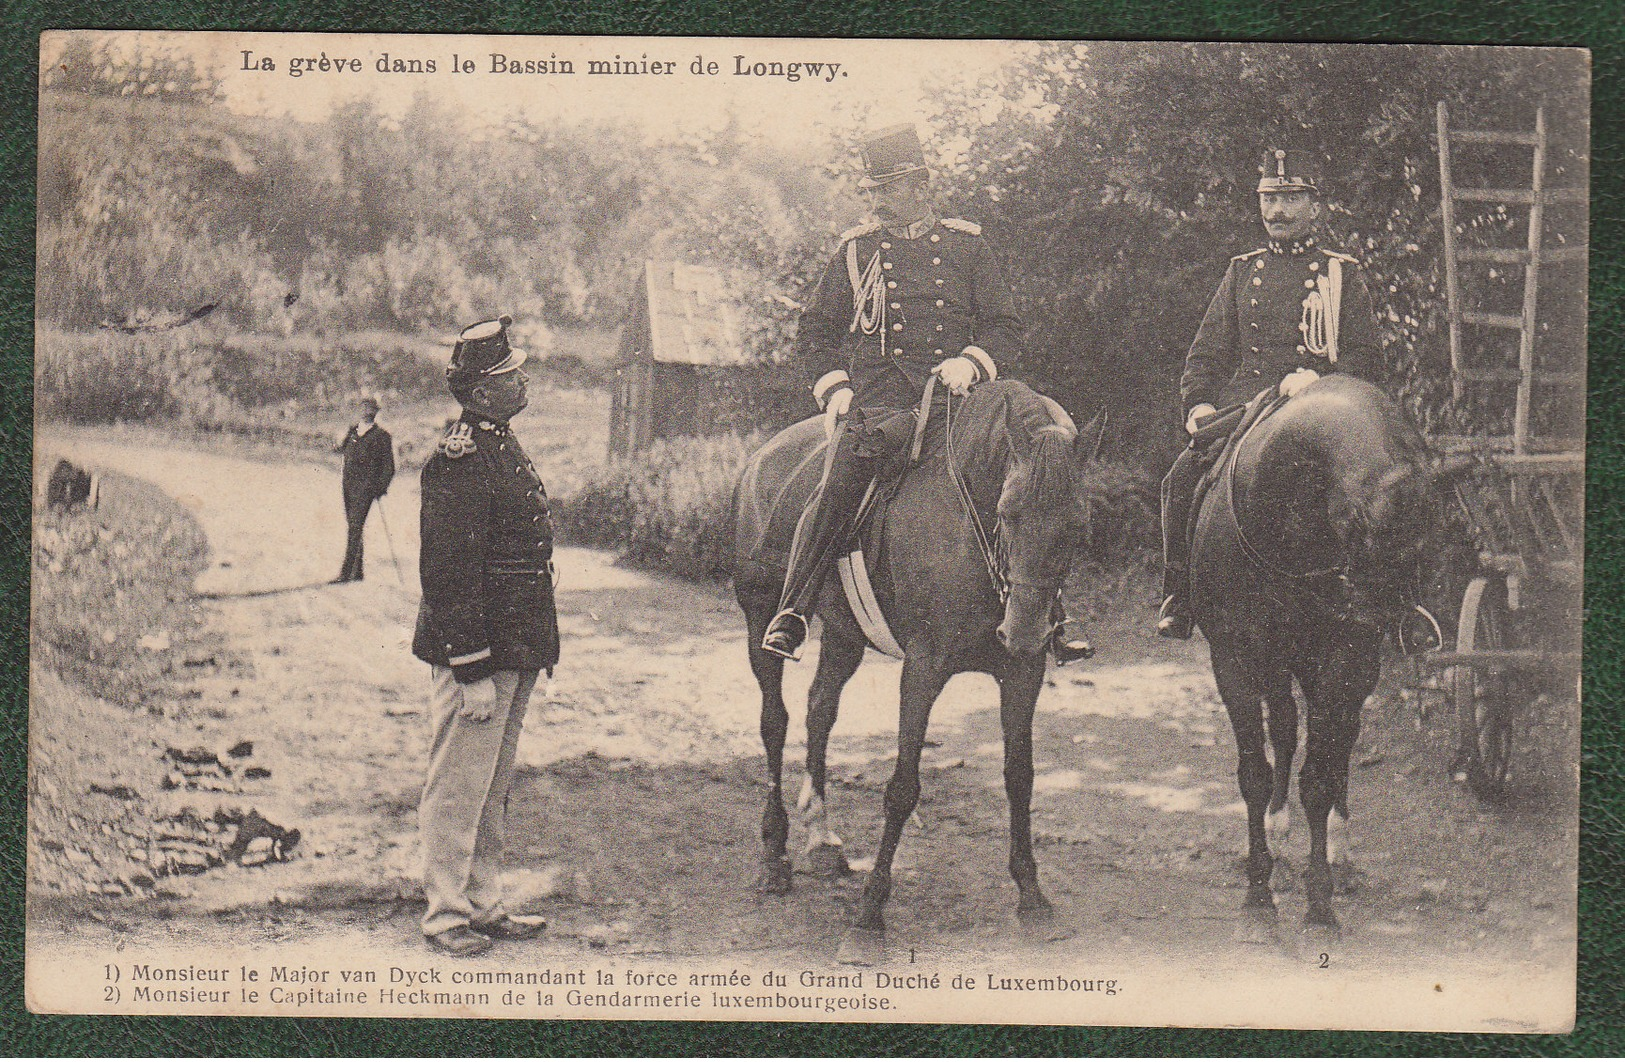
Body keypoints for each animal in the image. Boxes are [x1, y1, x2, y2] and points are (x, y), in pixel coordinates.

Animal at [734, 383, 1092, 967]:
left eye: (1079, 528)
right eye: (1008, 511)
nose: (1023, 630)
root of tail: (763, 455)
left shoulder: (1023, 674)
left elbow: (1020, 779)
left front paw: (1032, 898)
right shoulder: (923, 671)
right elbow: (902, 788)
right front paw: (868, 918)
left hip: (844, 635)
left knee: (819, 710)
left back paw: (821, 839)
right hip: (758, 615)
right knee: (774, 722)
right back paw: (774, 855)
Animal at [1196, 376, 1436, 948]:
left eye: (1425, 531)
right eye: (1355, 520)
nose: (1382, 616)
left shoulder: (1342, 663)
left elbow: (1321, 779)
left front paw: (1320, 904)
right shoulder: (1233, 659)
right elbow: (1255, 773)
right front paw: (1259, 896)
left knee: (1340, 739)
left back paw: (1339, 850)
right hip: (1280, 664)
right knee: (1284, 728)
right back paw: (1278, 834)